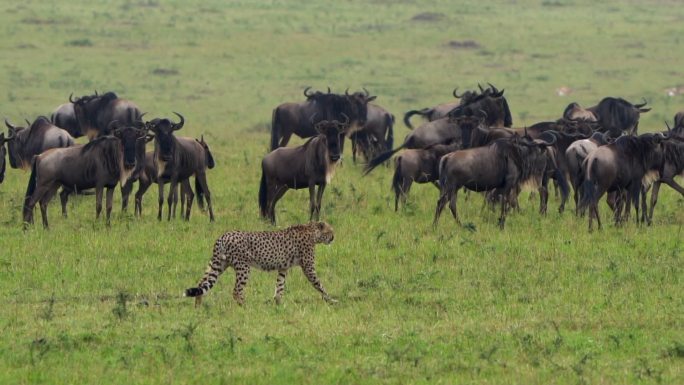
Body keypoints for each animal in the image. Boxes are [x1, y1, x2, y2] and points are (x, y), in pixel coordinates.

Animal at [186, 220, 338, 304]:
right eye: (330, 230)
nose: (333, 238)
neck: (312, 231)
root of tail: (223, 235)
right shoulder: (308, 268)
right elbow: (319, 284)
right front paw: (331, 300)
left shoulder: (283, 267)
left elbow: (280, 285)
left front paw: (278, 303)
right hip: (243, 267)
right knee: (236, 291)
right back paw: (246, 307)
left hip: (218, 265)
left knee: (201, 285)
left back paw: (198, 309)